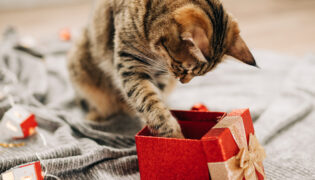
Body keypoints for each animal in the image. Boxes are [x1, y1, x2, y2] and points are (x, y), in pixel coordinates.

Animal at [68, 0, 258, 138]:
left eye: (195, 74)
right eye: (185, 69)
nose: (183, 81)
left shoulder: (159, 74)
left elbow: (154, 100)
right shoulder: (130, 65)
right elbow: (149, 103)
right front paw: (174, 136)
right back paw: (96, 117)